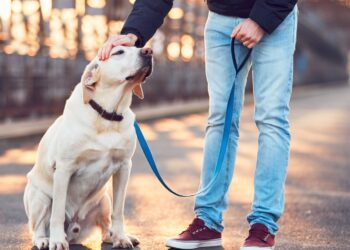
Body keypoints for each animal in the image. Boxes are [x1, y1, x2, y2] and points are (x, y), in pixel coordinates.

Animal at [23, 46, 152, 249]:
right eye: (118, 52)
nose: (148, 51)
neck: (108, 114)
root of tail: (74, 231)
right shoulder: (64, 169)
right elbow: (57, 213)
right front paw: (57, 240)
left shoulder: (124, 166)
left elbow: (119, 212)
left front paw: (121, 237)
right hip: (38, 196)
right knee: (38, 226)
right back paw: (45, 239)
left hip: (104, 199)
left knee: (106, 225)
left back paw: (113, 236)